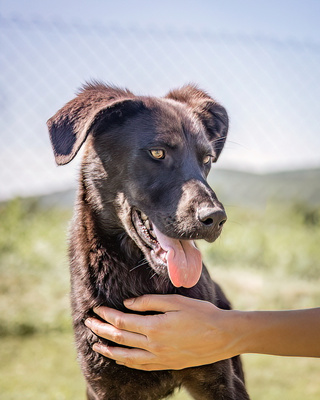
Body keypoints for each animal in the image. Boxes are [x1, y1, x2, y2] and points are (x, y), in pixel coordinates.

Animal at [47, 82, 250, 400]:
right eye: (157, 152)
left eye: (206, 159)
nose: (216, 218)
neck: (142, 278)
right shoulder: (104, 386)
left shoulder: (219, 379)